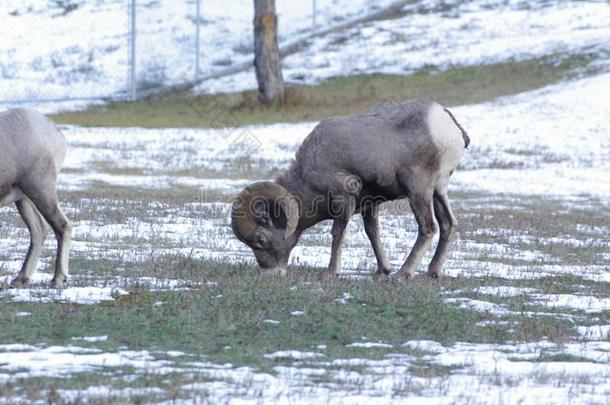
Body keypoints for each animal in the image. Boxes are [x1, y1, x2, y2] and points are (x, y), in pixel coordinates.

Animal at [0, 107, 70, 288]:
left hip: (39, 189)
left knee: (61, 226)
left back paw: (57, 279)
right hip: (23, 199)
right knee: (39, 230)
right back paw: (20, 279)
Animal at [230, 99, 468, 280]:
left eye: (261, 240)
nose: (271, 272)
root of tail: (447, 122)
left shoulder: (343, 198)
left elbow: (337, 233)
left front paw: (331, 273)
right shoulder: (370, 204)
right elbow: (372, 232)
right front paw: (382, 271)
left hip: (418, 190)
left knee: (428, 228)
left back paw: (404, 274)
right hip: (438, 191)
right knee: (448, 223)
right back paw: (432, 272)